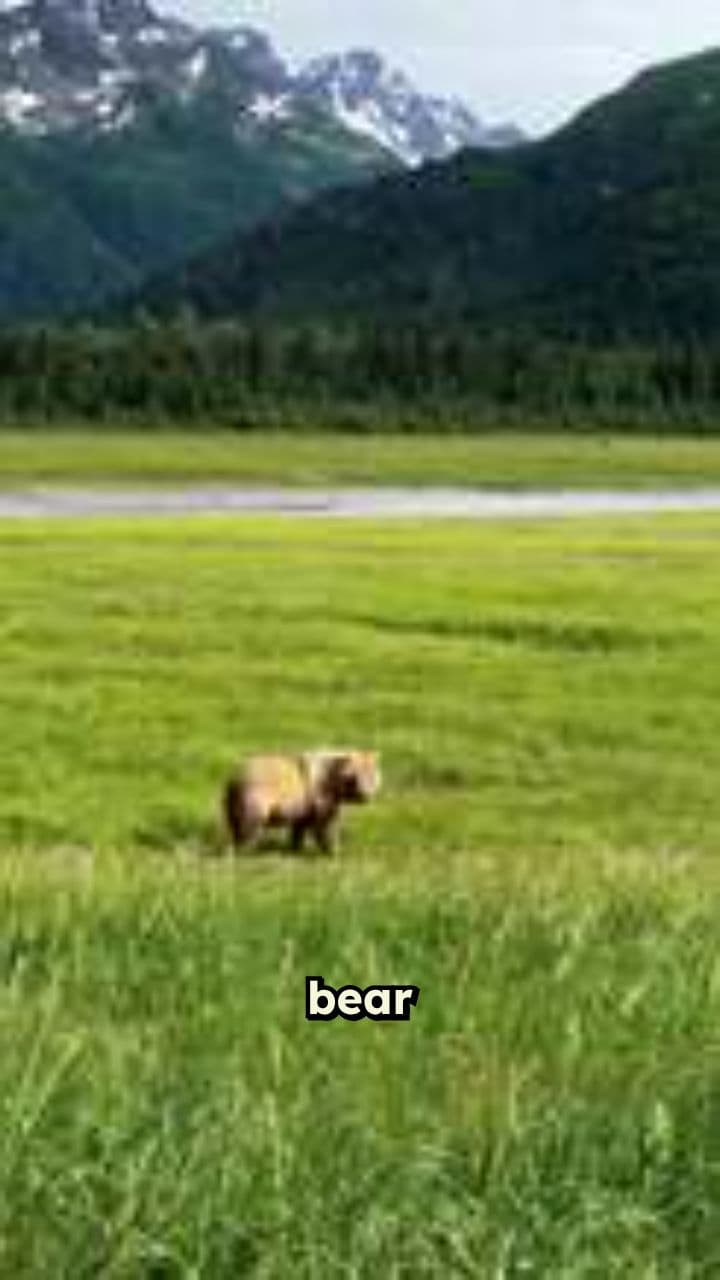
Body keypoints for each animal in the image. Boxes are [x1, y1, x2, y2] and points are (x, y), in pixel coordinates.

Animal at [223, 750, 381, 854]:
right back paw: (246, 848)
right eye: (353, 778)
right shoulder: (321, 795)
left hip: (231, 801)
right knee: (250, 824)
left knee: (235, 823)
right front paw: (332, 850)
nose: (364, 795)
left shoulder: (306, 805)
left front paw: (296, 846)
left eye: (371, 776)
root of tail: (233, 778)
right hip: (255, 795)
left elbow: (300, 825)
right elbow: (324, 825)